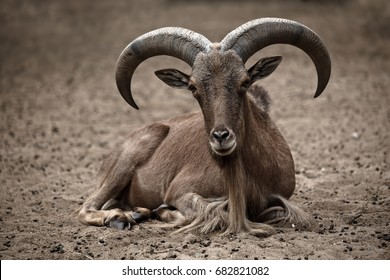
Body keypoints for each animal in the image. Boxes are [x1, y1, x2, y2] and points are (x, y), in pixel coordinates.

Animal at [77, 18, 332, 236]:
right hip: (126, 162)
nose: (221, 136)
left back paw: (137, 212)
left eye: (245, 81)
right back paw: (119, 218)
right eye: (193, 87)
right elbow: (208, 212)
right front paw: (163, 211)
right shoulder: (179, 190)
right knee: (86, 207)